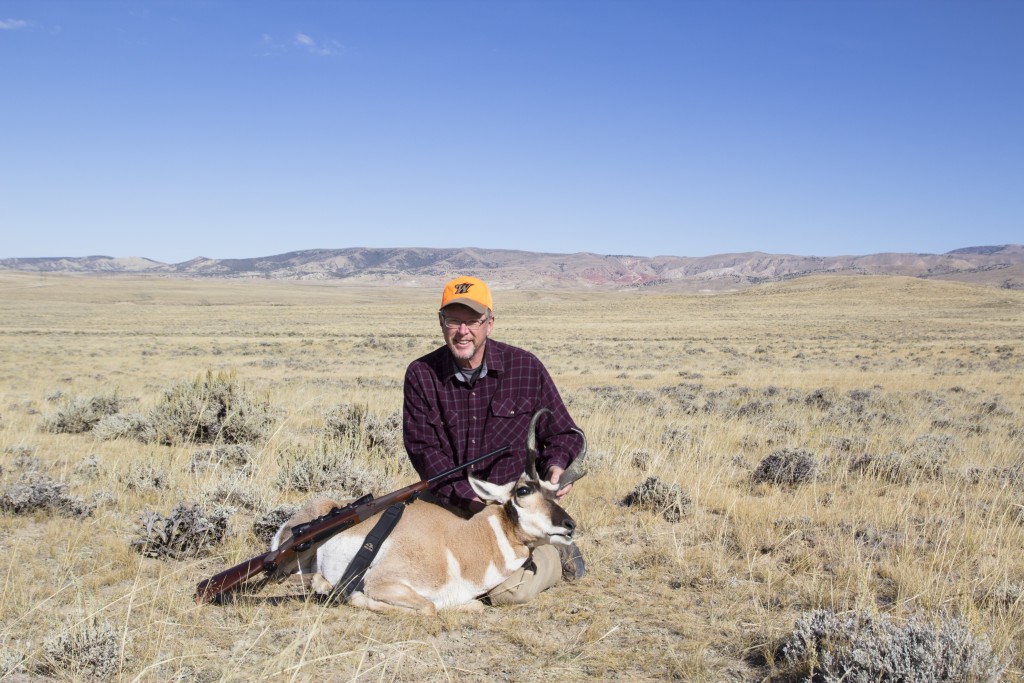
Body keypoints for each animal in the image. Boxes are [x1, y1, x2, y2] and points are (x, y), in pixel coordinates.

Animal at [268, 411, 581, 614]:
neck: (459, 543)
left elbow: (474, 606)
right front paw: (354, 598)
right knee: (284, 579)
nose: (569, 525)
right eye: (523, 490)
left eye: (556, 493)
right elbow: (428, 607)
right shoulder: (383, 583)